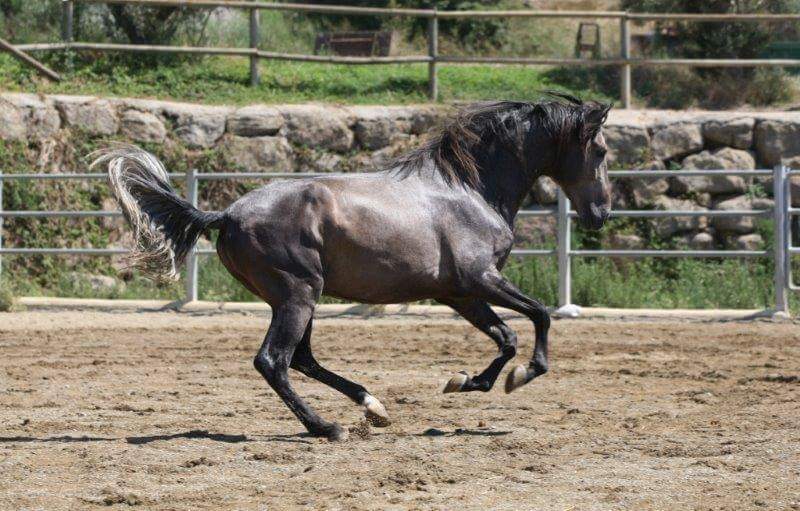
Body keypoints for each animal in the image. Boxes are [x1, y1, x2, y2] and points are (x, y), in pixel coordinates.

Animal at [94, 93, 612, 441]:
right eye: (603, 151)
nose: (601, 214)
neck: (471, 188)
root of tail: (226, 215)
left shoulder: (458, 293)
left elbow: (506, 336)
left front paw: (468, 382)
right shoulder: (479, 279)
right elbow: (539, 315)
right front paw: (518, 376)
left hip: (299, 298)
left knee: (301, 358)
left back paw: (372, 406)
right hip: (298, 295)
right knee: (274, 361)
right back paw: (327, 427)